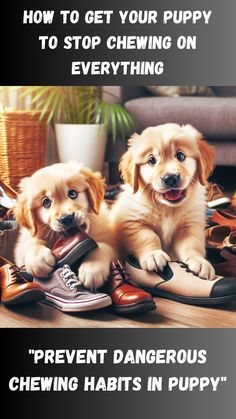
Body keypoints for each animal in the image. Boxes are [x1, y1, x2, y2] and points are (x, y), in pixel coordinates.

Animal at [13, 162, 115, 290]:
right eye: (46, 202)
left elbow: (102, 246)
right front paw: (38, 259)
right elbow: (31, 242)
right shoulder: (23, 245)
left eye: (72, 193)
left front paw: (92, 268)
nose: (66, 219)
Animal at [111, 124, 217, 282]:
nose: (170, 178)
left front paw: (199, 261)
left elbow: (191, 243)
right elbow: (147, 236)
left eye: (180, 156)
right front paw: (154, 255)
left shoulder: (190, 225)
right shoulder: (132, 222)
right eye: (151, 160)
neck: (167, 208)